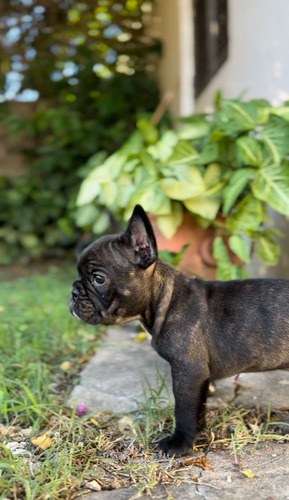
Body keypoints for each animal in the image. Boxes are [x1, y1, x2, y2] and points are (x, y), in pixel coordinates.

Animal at [69, 204, 288, 458]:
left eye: (98, 278)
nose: (73, 292)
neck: (165, 299)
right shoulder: (199, 377)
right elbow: (198, 408)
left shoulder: (189, 373)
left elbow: (183, 410)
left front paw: (179, 443)